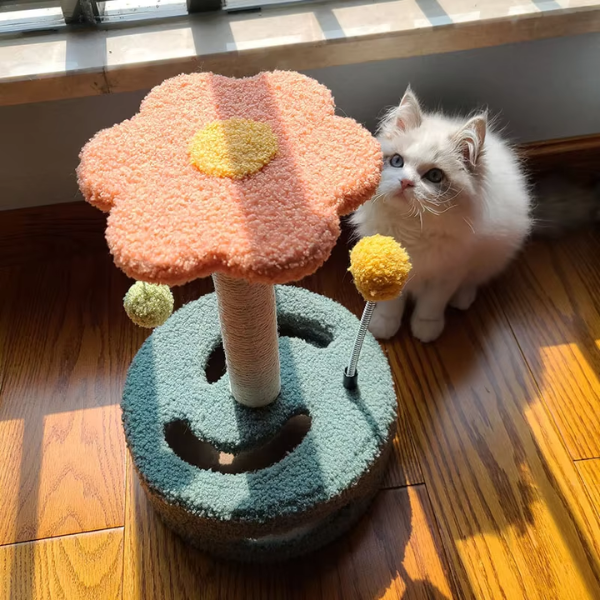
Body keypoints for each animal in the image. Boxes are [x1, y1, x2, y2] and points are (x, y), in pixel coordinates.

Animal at [352, 88, 528, 342]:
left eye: (434, 176)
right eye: (397, 161)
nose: (405, 182)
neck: (411, 228)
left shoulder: (449, 273)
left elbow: (431, 305)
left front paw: (426, 330)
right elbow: (391, 305)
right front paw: (384, 326)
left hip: (492, 256)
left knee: (472, 282)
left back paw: (462, 300)